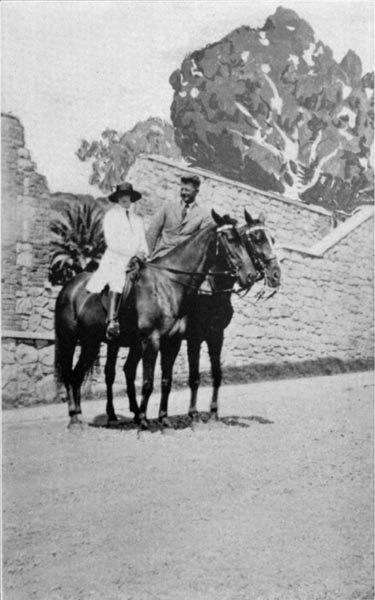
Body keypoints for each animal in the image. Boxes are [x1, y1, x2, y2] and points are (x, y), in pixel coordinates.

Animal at [54, 210, 258, 426]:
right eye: (230, 239)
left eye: (243, 240)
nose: (250, 275)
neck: (168, 285)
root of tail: (69, 287)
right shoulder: (153, 340)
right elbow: (148, 382)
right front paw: (145, 420)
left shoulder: (174, 341)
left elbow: (166, 381)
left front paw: (164, 419)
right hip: (70, 340)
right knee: (70, 374)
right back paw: (78, 417)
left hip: (91, 343)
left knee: (78, 374)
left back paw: (82, 415)